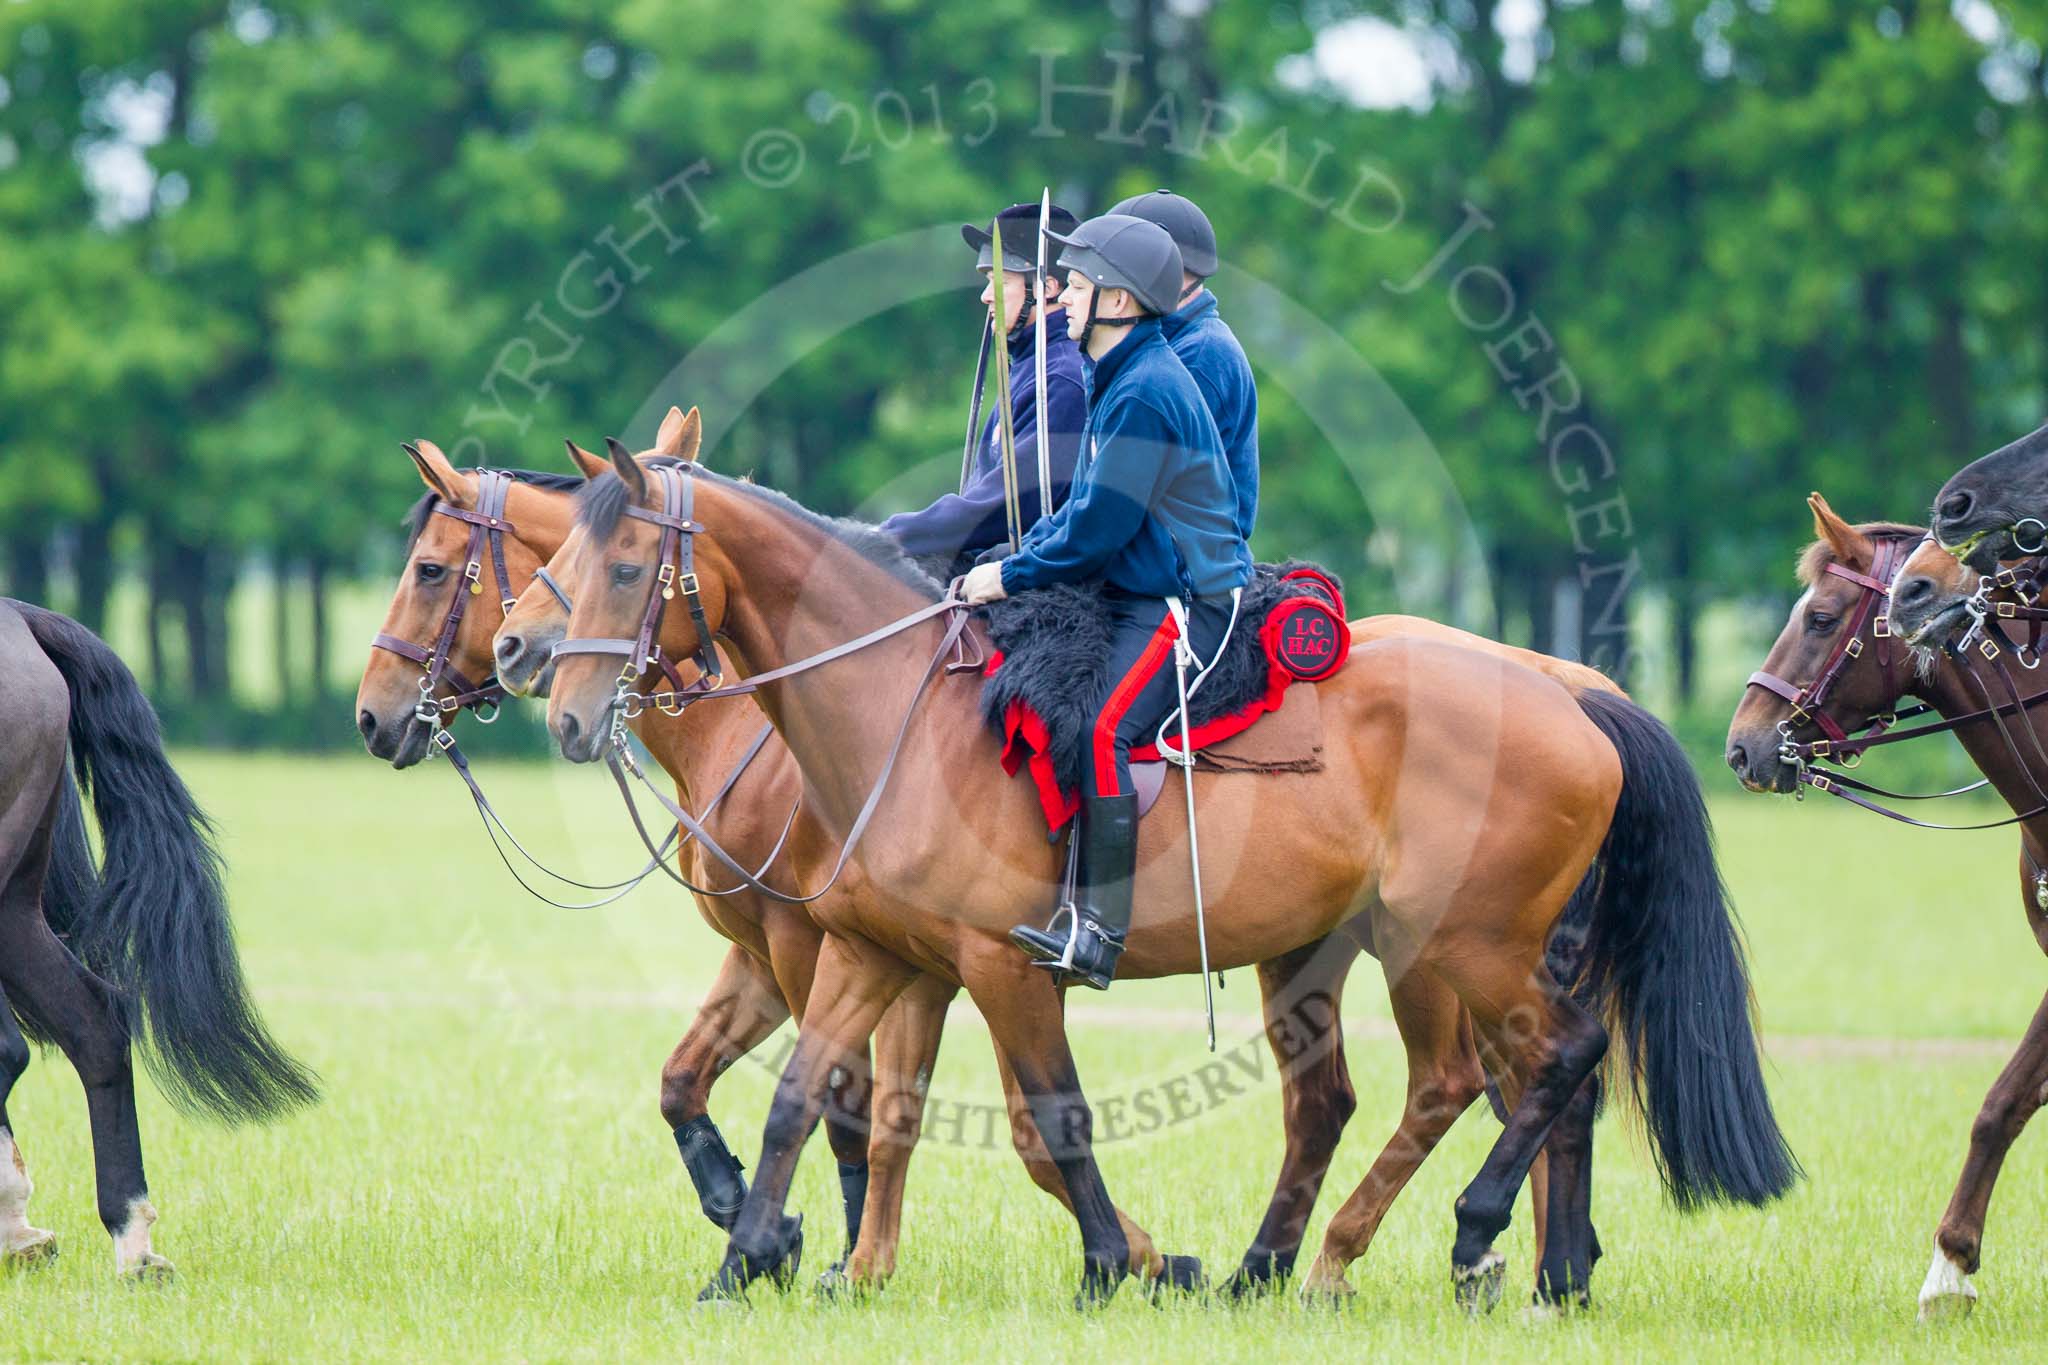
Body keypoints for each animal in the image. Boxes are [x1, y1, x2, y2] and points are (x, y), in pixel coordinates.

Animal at [540, 450, 1794, 1309]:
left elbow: (1049, 1118)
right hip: (1371, 951)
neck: (896, 709)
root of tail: (1567, 692)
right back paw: (1407, 1270)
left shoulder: (998, 967)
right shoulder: (868, 955)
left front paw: (1111, 1264)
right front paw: (745, 1264)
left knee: (1542, 1061)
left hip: (1462, 947)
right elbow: (806, 1100)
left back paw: (1454, 1239)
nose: (553, 703)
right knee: (1421, 1091)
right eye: (554, 570)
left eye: (623, 569)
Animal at [1736, 497, 2048, 1317]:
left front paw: (1950, 1265)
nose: (1742, 745)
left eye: (1819, 618)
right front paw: (1951, 1270)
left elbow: (2003, 1102)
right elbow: (2005, 1103)